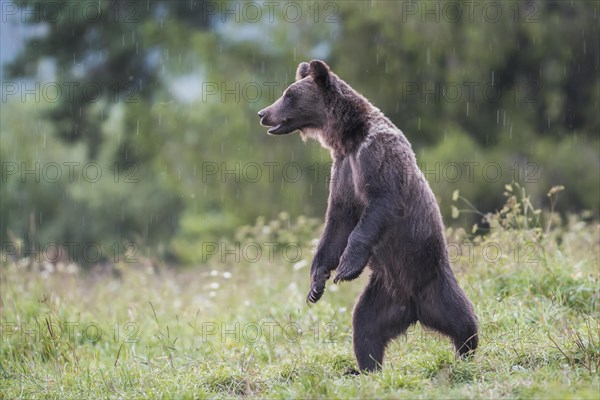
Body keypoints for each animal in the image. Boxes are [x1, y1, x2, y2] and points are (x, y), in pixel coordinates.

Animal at [256, 59, 478, 372]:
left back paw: (465, 351)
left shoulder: (376, 156)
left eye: (289, 95)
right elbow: (336, 224)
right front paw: (316, 284)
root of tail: (413, 308)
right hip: (383, 293)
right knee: (365, 325)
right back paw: (366, 367)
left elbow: (379, 205)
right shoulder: (343, 172)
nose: (263, 113)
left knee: (461, 317)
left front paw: (346, 267)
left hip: (432, 278)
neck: (348, 138)